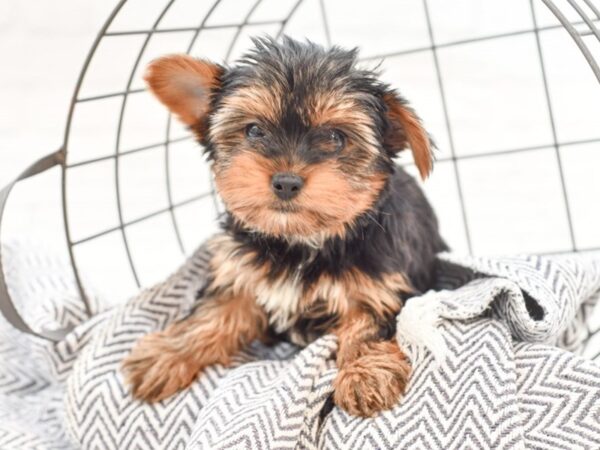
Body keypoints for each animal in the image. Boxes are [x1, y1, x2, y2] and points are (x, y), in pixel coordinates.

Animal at [123, 36, 446, 418]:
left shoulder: (378, 288)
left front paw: (366, 372)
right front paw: (169, 353)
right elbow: (214, 313)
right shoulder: (242, 275)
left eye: (335, 138)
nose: (286, 182)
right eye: (254, 130)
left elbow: (366, 326)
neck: (300, 242)